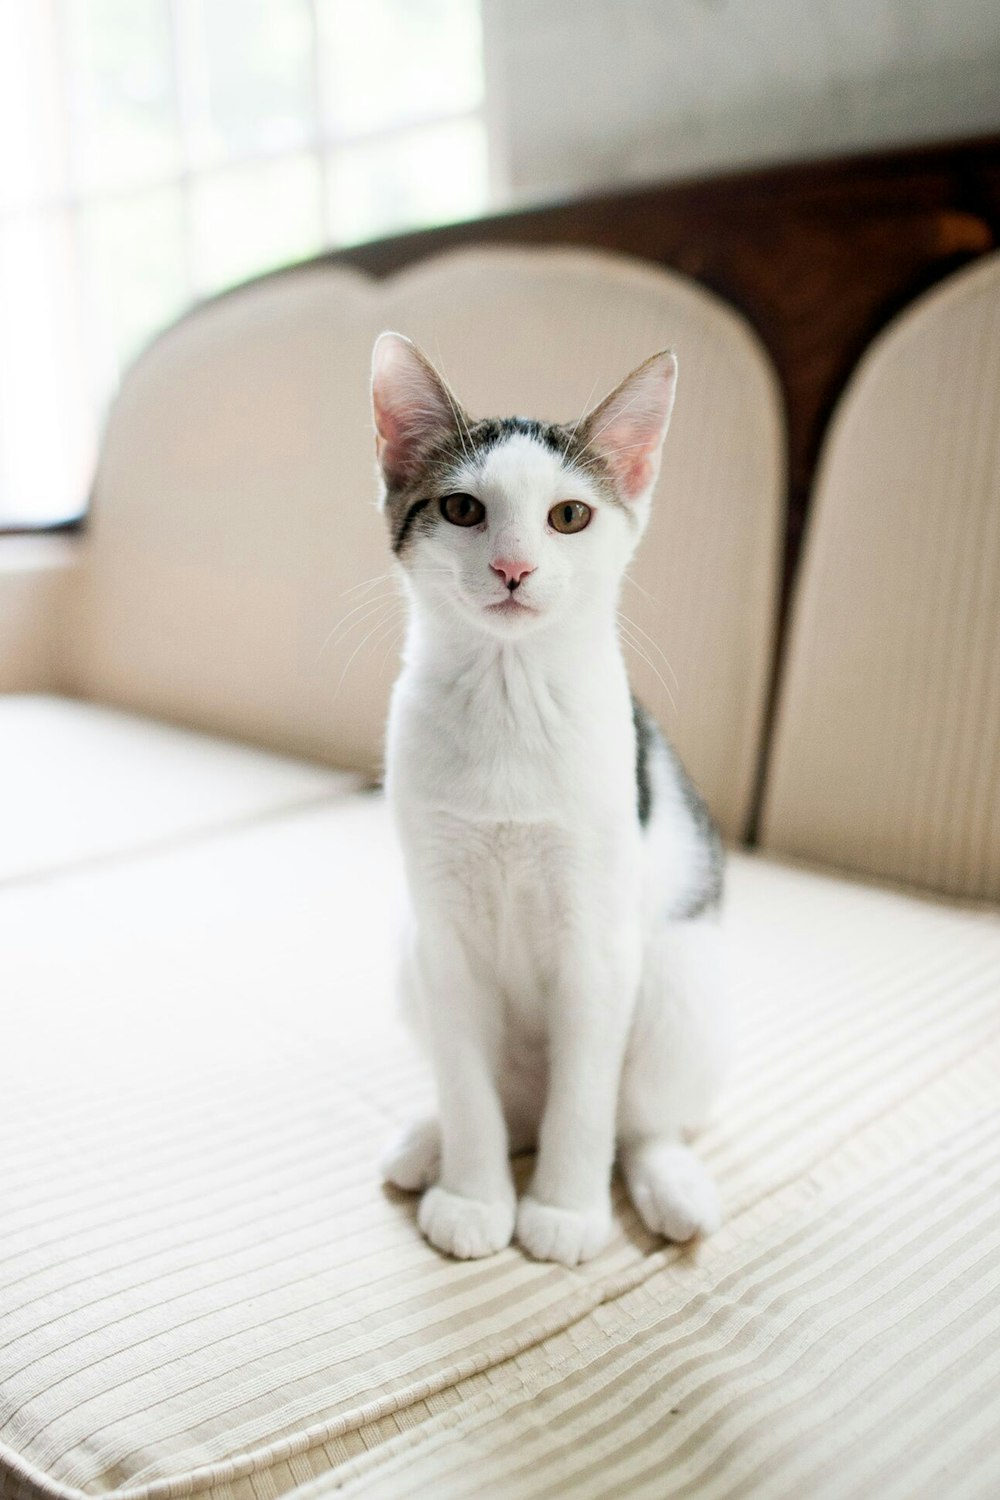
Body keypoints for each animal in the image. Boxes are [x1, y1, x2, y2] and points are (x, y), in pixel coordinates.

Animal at [371, 337, 722, 1266]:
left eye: (569, 517)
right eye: (461, 509)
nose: (512, 567)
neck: (508, 689)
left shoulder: (598, 943)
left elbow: (587, 1100)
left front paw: (564, 1211)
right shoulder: (443, 934)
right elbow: (467, 1083)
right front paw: (474, 1193)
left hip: (674, 974)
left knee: (635, 1118)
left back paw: (668, 1182)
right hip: (409, 955)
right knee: (507, 1102)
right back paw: (431, 1142)